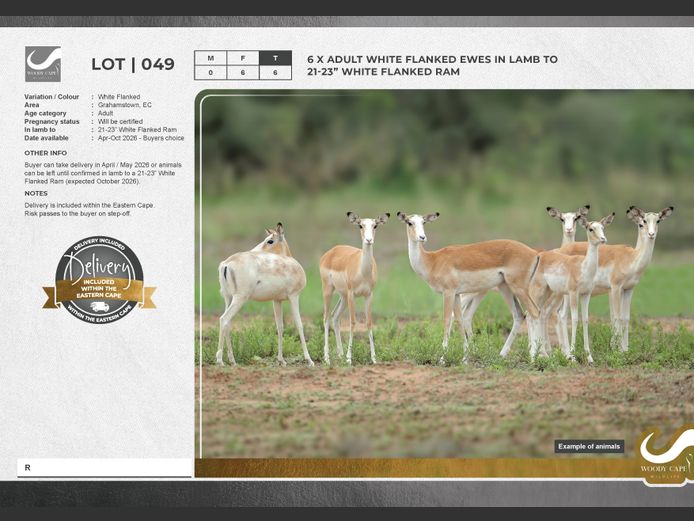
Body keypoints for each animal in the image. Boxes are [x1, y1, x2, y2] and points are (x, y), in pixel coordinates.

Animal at [216, 223, 314, 367]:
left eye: (270, 240)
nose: (253, 250)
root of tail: (226, 263)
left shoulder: (277, 300)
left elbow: (280, 327)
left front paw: (281, 360)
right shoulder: (294, 297)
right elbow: (299, 325)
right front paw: (309, 360)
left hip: (228, 298)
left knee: (227, 323)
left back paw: (233, 361)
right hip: (239, 298)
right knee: (223, 319)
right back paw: (220, 361)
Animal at [319, 212, 390, 365]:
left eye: (375, 225)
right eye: (360, 225)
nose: (369, 240)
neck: (362, 271)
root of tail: (330, 252)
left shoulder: (368, 295)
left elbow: (369, 322)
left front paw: (374, 358)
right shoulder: (352, 294)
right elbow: (352, 322)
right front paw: (349, 358)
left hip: (343, 297)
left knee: (335, 316)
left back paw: (339, 354)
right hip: (329, 290)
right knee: (326, 317)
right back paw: (327, 358)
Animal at [397, 211, 541, 363]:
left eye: (423, 222)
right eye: (410, 222)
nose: (422, 237)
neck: (432, 261)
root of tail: (534, 253)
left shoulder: (448, 293)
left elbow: (447, 320)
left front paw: (442, 358)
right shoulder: (456, 294)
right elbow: (459, 320)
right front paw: (465, 358)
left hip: (518, 289)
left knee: (534, 312)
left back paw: (534, 358)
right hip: (505, 288)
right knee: (519, 315)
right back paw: (502, 354)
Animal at [529, 213, 615, 362]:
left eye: (602, 227)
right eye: (591, 228)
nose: (603, 239)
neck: (583, 267)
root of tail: (540, 255)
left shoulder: (586, 294)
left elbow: (585, 320)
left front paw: (589, 357)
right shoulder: (573, 293)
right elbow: (574, 320)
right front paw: (572, 355)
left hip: (548, 293)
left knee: (537, 314)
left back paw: (541, 354)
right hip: (538, 292)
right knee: (530, 314)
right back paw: (533, 356)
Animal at [558, 206, 674, 351]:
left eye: (658, 220)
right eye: (642, 222)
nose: (651, 234)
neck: (632, 258)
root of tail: (560, 250)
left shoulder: (628, 289)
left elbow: (625, 317)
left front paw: (626, 349)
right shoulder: (615, 288)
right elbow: (617, 317)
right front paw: (618, 350)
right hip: (567, 293)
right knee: (562, 316)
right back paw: (567, 351)